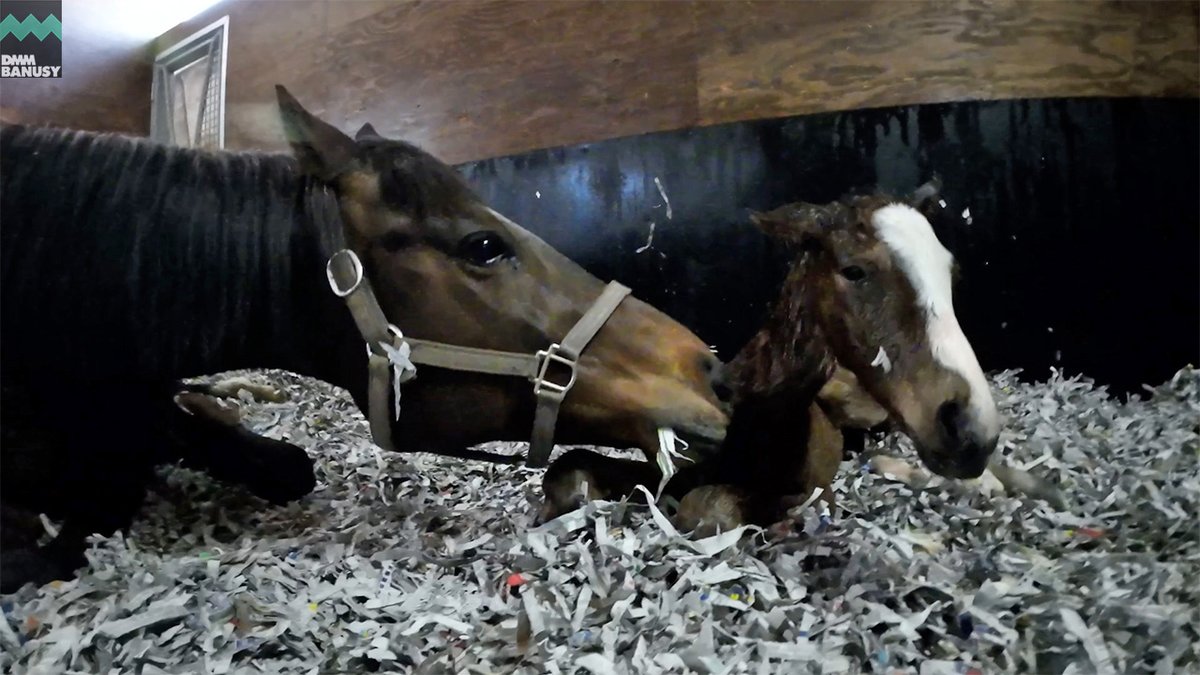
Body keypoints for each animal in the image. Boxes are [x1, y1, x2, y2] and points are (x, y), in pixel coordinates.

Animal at [540, 180, 1001, 530]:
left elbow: (708, 508)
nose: (970, 427)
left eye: (951, 272)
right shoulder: (671, 463)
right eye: (853, 270)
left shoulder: (813, 494)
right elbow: (570, 470)